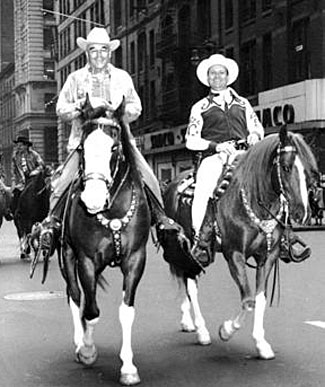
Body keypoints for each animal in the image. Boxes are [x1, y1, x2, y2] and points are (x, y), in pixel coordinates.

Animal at [38, 101, 151, 386]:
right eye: (81, 149)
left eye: (114, 148)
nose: (92, 199)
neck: (111, 211)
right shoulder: (86, 259)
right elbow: (90, 310)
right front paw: (87, 350)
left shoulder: (136, 259)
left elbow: (126, 310)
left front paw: (128, 367)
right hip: (68, 257)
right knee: (75, 295)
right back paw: (81, 342)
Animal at [162, 126, 316, 358]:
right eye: (286, 167)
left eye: (307, 171)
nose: (302, 213)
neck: (255, 200)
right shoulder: (234, 255)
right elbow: (248, 300)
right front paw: (226, 330)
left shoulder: (267, 256)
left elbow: (259, 299)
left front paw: (261, 343)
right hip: (184, 249)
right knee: (190, 285)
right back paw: (201, 330)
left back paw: (188, 321)